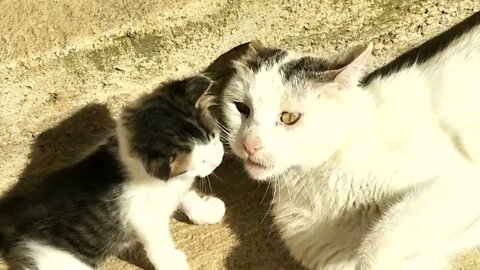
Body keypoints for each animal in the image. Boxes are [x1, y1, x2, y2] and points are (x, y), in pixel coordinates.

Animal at [0, 74, 225, 270]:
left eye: (213, 137)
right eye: (201, 160)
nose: (218, 160)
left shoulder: (177, 185)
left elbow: (187, 196)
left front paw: (206, 211)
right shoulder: (144, 218)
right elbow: (158, 243)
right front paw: (172, 262)